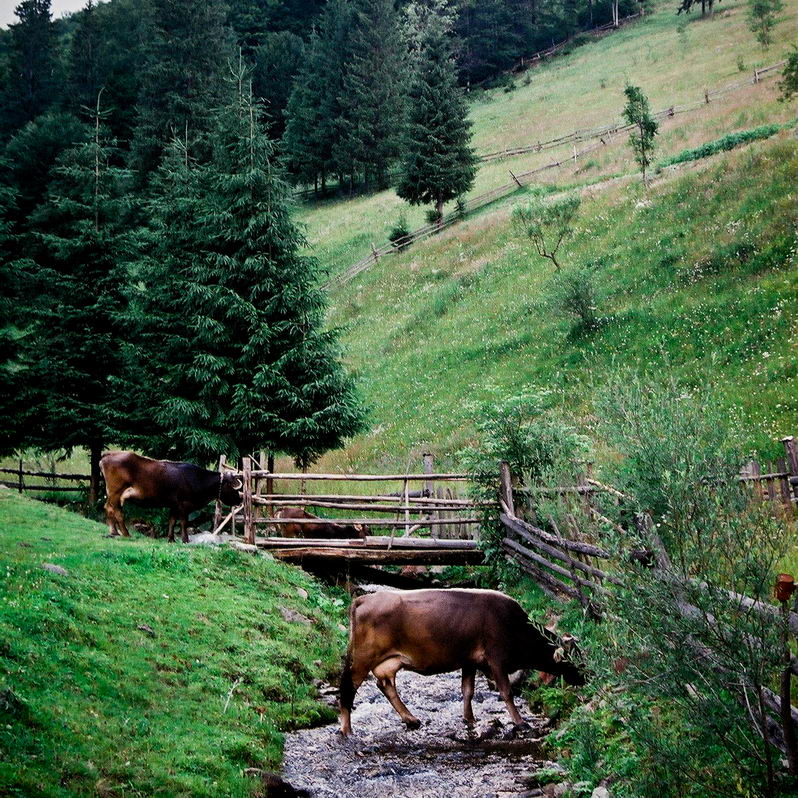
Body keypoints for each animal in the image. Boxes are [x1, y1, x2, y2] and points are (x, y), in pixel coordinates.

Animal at [101, 450, 242, 544]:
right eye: (232, 486)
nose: (240, 499)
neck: (197, 479)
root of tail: (109, 454)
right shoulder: (184, 505)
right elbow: (184, 522)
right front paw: (185, 540)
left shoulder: (174, 505)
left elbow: (172, 521)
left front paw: (171, 539)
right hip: (116, 492)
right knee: (116, 511)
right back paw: (125, 533)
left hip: (113, 494)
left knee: (108, 508)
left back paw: (113, 532)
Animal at [338, 588, 580, 736]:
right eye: (573, 660)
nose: (584, 678)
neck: (516, 626)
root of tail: (364, 599)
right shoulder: (496, 659)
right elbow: (506, 692)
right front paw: (520, 722)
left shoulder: (469, 661)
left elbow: (467, 691)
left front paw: (469, 719)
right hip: (362, 658)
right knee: (348, 688)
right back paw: (347, 729)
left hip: (387, 662)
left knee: (386, 685)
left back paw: (411, 719)